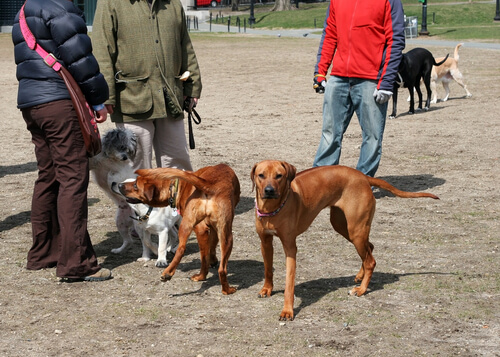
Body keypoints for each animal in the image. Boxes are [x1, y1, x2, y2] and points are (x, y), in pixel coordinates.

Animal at [118, 163, 241, 294]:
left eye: (135, 184)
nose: (119, 185)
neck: (176, 187)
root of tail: (210, 185)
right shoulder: (209, 228)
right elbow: (211, 247)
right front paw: (213, 260)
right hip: (213, 231)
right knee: (206, 260)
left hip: (208, 230)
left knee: (189, 252)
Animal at [250, 161, 438, 320]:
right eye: (261, 175)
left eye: (279, 176)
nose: (269, 190)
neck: (272, 210)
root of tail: (363, 176)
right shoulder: (264, 241)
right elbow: (268, 269)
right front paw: (267, 289)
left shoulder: (290, 247)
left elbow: (289, 283)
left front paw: (287, 311)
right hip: (343, 225)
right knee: (370, 248)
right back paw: (360, 276)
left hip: (355, 229)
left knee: (370, 260)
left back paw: (361, 290)